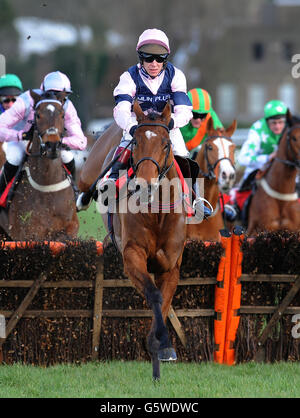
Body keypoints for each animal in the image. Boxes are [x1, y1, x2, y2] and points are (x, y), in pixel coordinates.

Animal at [0, 90, 79, 240]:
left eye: (62, 115)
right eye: (38, 115)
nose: (52, 145)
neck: (47, 188)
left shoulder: (70, 228)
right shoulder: (27, 233)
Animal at [97, 100, 188, 378]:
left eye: (166, 143)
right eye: (136, 142)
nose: (145, 185)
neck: (156, 212)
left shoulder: (170, 264)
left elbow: (165, 298)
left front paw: (164, 347)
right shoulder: (131, 255)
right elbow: (153, 294)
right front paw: (157, 340)